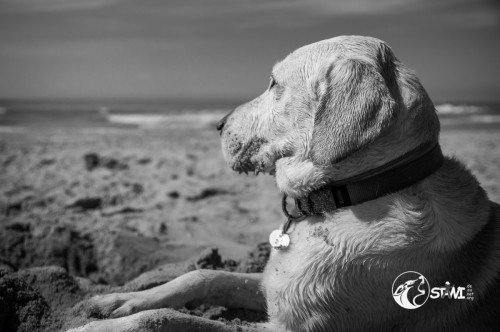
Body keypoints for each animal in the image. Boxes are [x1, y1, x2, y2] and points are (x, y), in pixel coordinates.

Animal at [67, 35, 500, 330]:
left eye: (274, 83)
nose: (218, 124)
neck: (350, 197)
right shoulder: (268, 285)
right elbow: (202, 274)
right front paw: (118, 301)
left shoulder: (287, 327)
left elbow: (170, 319)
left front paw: (105, 326)